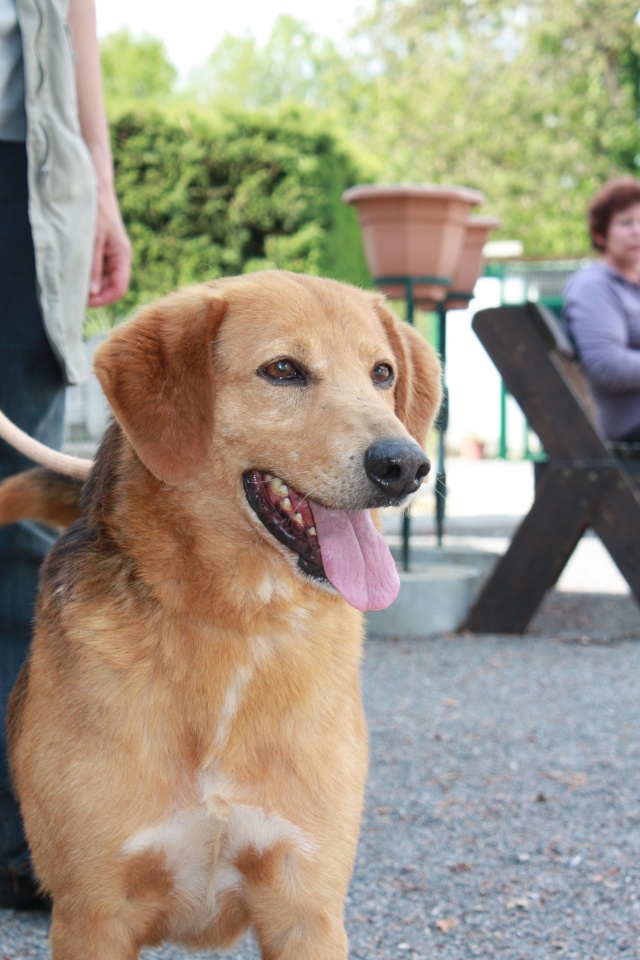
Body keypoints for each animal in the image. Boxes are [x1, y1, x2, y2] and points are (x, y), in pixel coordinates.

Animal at [3, 272, 440, 960]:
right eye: (283, 370)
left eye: (382, 373)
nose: (405, 465)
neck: (236, 623)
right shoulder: (94, 914)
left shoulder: (306, 908)